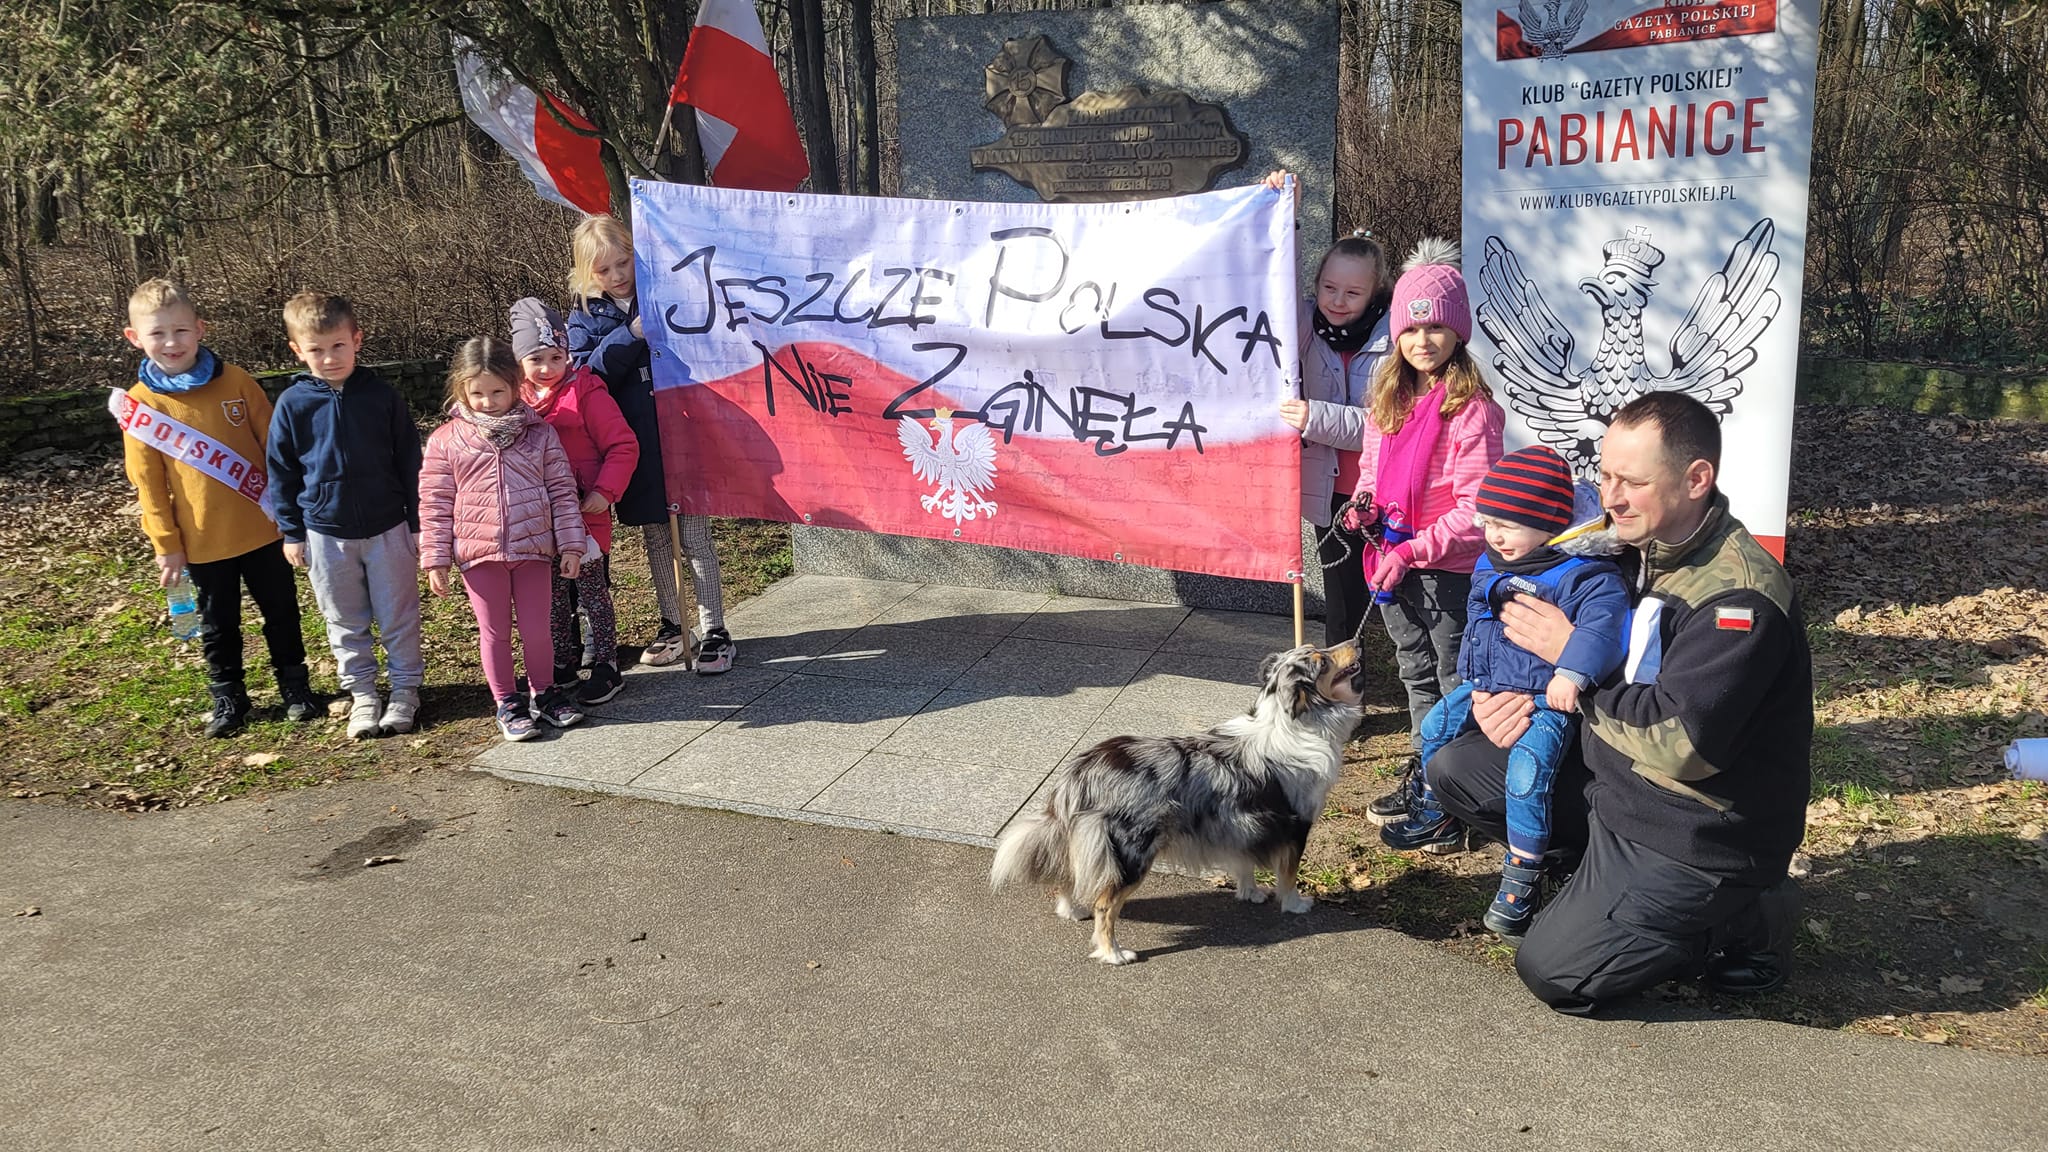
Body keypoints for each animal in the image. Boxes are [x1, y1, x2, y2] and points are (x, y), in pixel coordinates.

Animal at [990, 639, 1366, 965]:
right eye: (1322, 660)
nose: (1356, 641)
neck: (1293, 721)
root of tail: (1082, 771)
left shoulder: (1241, 821)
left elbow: (1243, 862)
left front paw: (1250, 893)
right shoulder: (1295, 825)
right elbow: (1288, 875)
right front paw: (1295, 904)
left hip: (1088, 840)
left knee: (1070, 875)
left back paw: (1072, 910)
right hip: (1132, 853)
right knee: (1106, 906)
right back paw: (1113, 953)